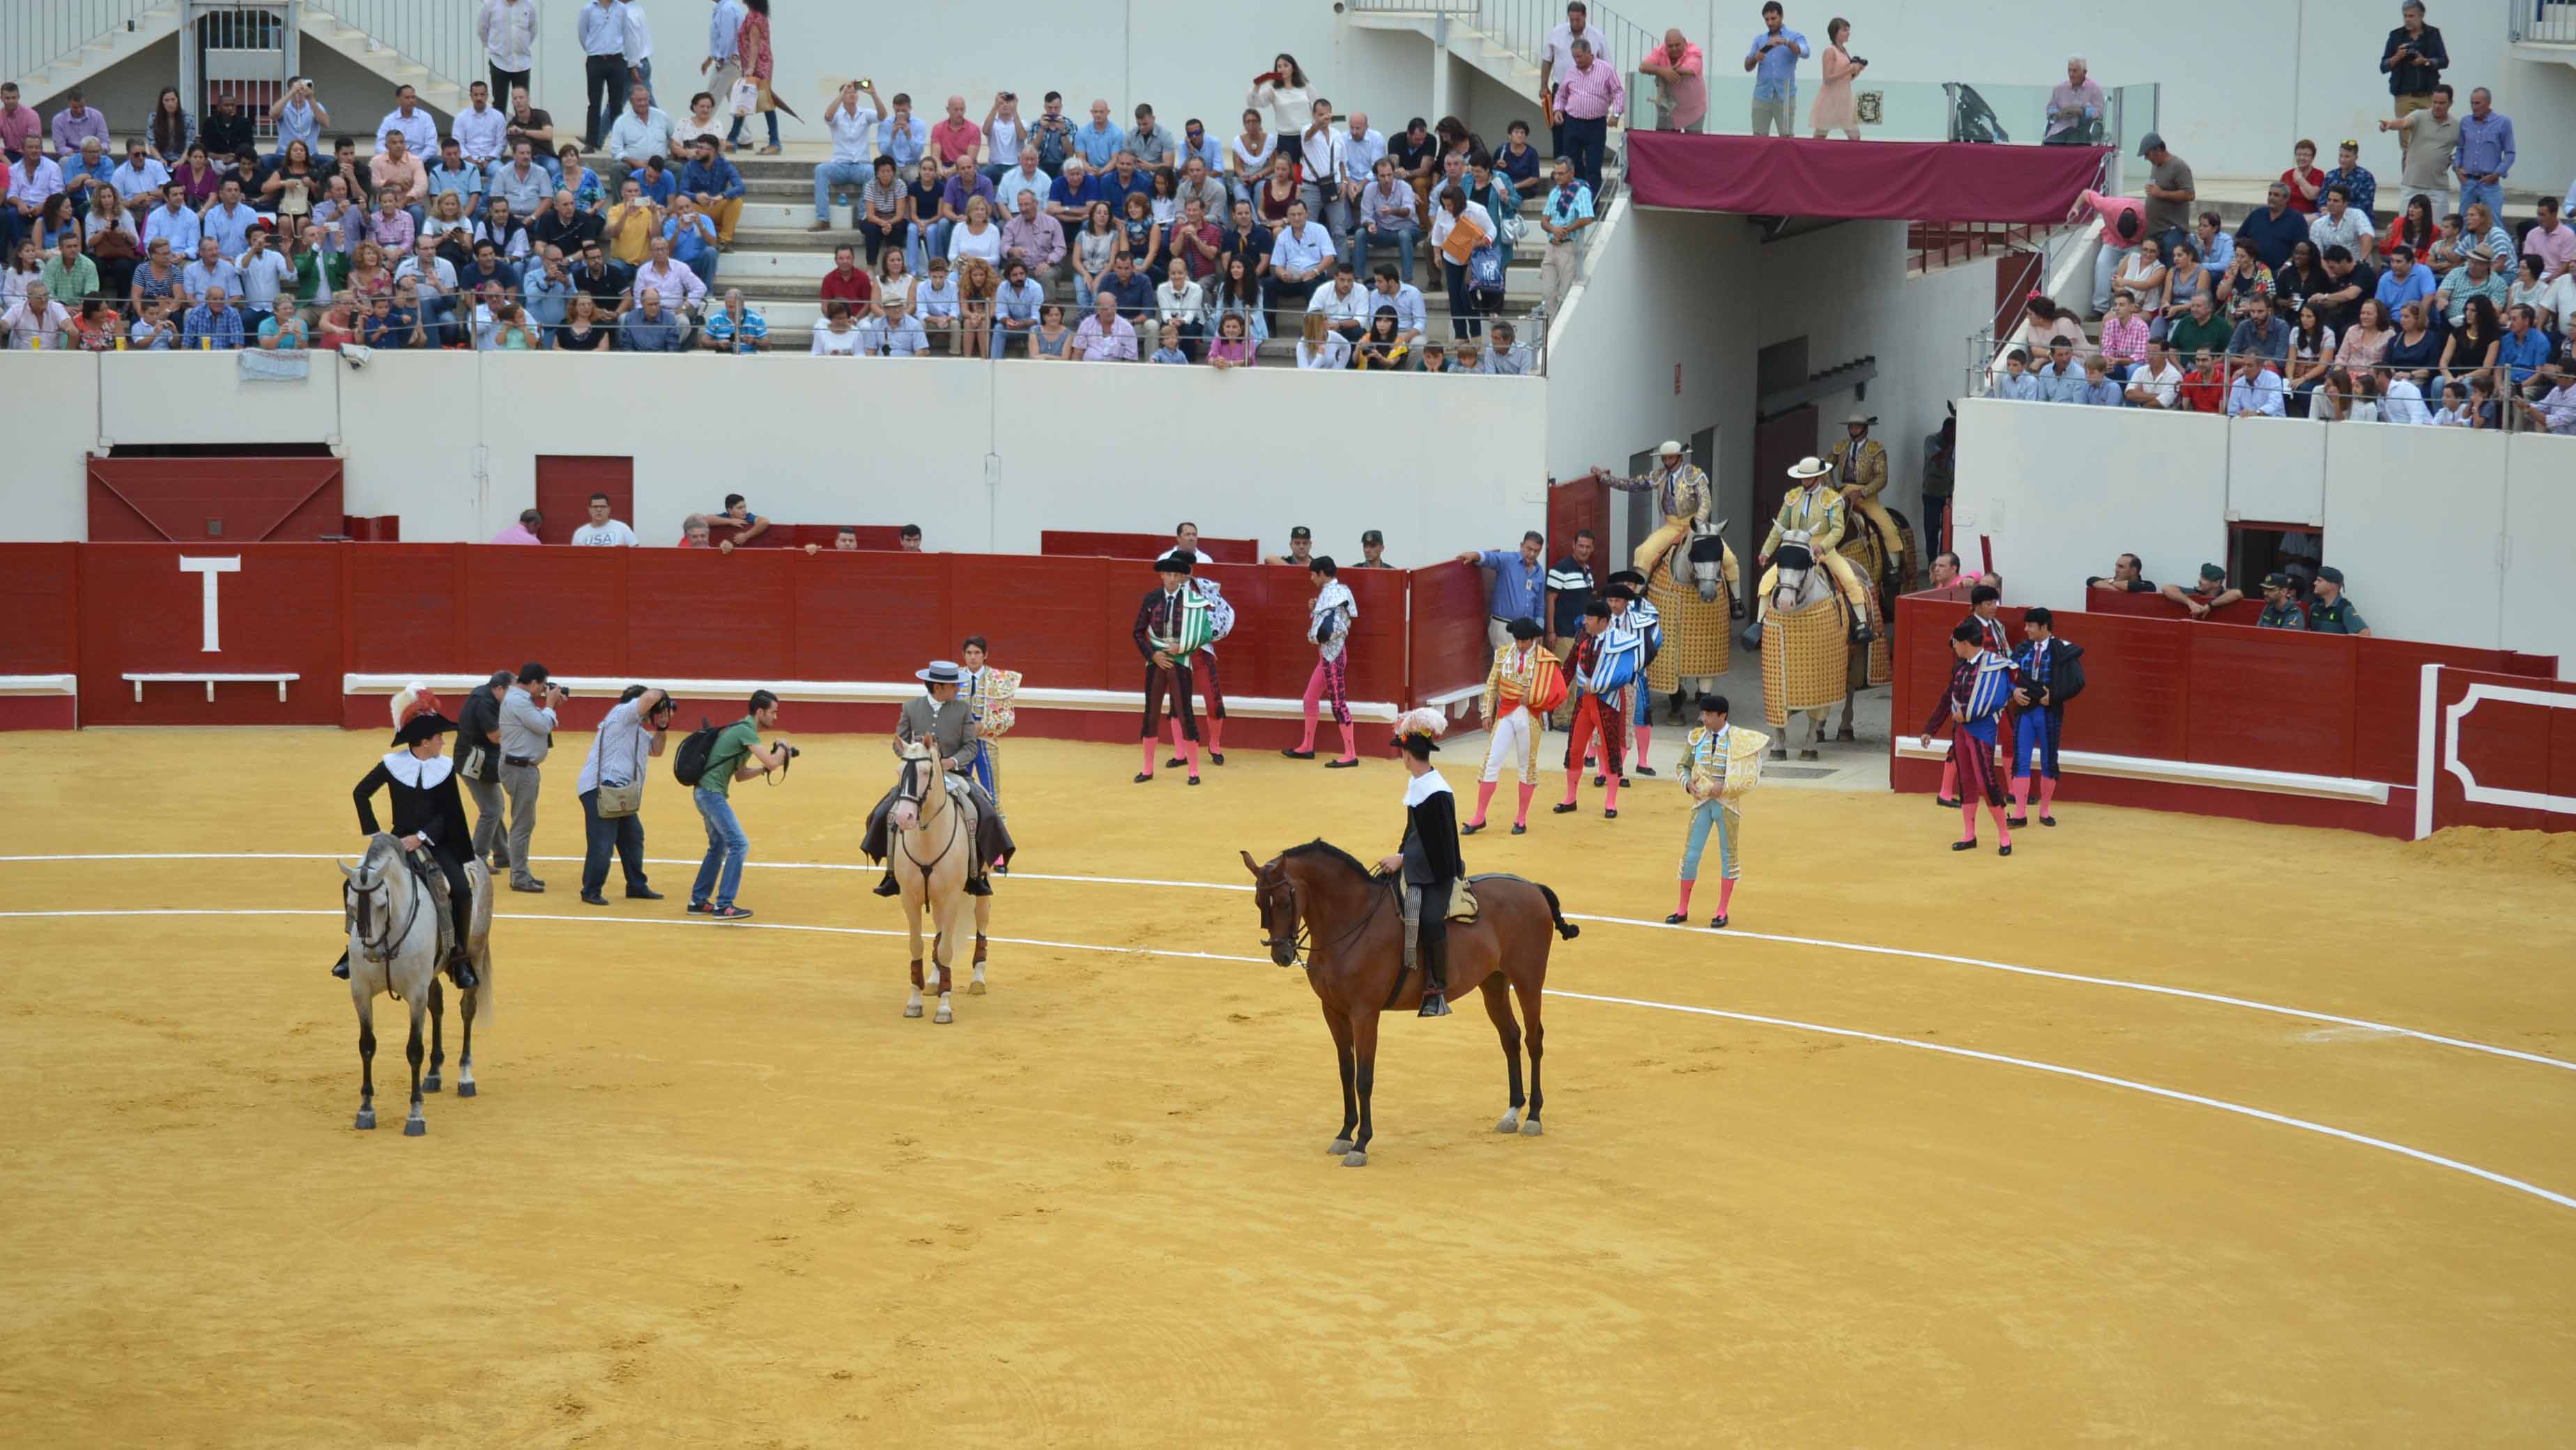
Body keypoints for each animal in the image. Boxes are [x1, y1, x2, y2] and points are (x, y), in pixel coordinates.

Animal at [335, 839, 489, 1133]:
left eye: (383, 905)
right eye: (350, 905)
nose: (372, 953)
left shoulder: (416, 994)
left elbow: (414, 1049)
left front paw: (415, 1115)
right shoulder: (361, 993)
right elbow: (367, 1045)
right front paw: (366, 1110)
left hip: (476, 952)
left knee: (467, 1010)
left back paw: (466, 1077)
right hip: (432, 974)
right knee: (437, 1006)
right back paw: (434, 1073)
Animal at [881, 736, 968, 1020]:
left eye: (924, 772)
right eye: (899, 771)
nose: (904, 818)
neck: (928, 836)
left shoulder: (952, 898)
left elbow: (946, 949)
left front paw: (944, 1007)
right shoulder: (909, 898)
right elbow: (917, 945)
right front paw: (914, 1002)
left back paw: (978, 981)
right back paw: (933, 982)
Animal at [1241, 839, 1576, 1169]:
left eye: (1284, 902)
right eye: (1259, 903)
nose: (1282, 955)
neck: (1352, 920)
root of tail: (1532, 888)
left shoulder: (1365, 1015)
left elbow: (1364, 1078)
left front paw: (1361, 1144)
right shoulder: (1333, 1012)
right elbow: (1346, 1071)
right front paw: (1344, 1134)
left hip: (1528, 981)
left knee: (1534, 1039)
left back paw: (1533, 1116)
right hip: (1493, 983)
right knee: (1511, 1037)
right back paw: (1512, 1113)